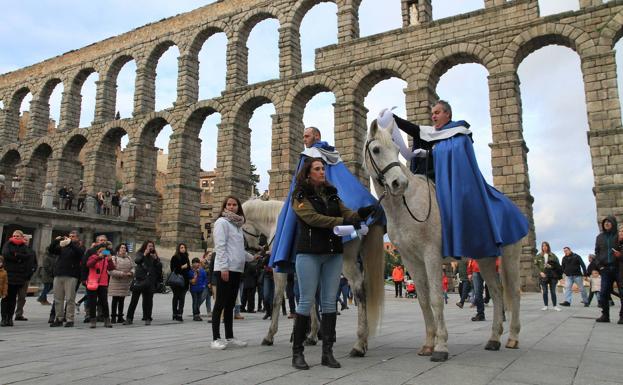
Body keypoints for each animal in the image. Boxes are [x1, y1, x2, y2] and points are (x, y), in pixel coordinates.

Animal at [243, 198, 386, 356]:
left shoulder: (279, 270)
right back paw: (363, 341)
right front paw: (312, 335)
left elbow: (277, 299)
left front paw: (270, 335)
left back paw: (359, 344)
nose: (252, 252)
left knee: (359, 289)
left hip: (346, 263)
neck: (274, 219)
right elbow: (310, 298)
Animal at [364, 119, 524, 360]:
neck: (406, 206)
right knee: (497, 292)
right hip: (486, 259)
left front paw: (440, 347)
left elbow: (436, 299)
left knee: (513, 292)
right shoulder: (411, 259)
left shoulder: (431, 254)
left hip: (510, 257)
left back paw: (513, 337)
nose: (399, 183)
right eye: (376, 149)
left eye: (396, 149)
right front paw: (428, 343)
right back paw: (494, 339)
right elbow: (422, 300)